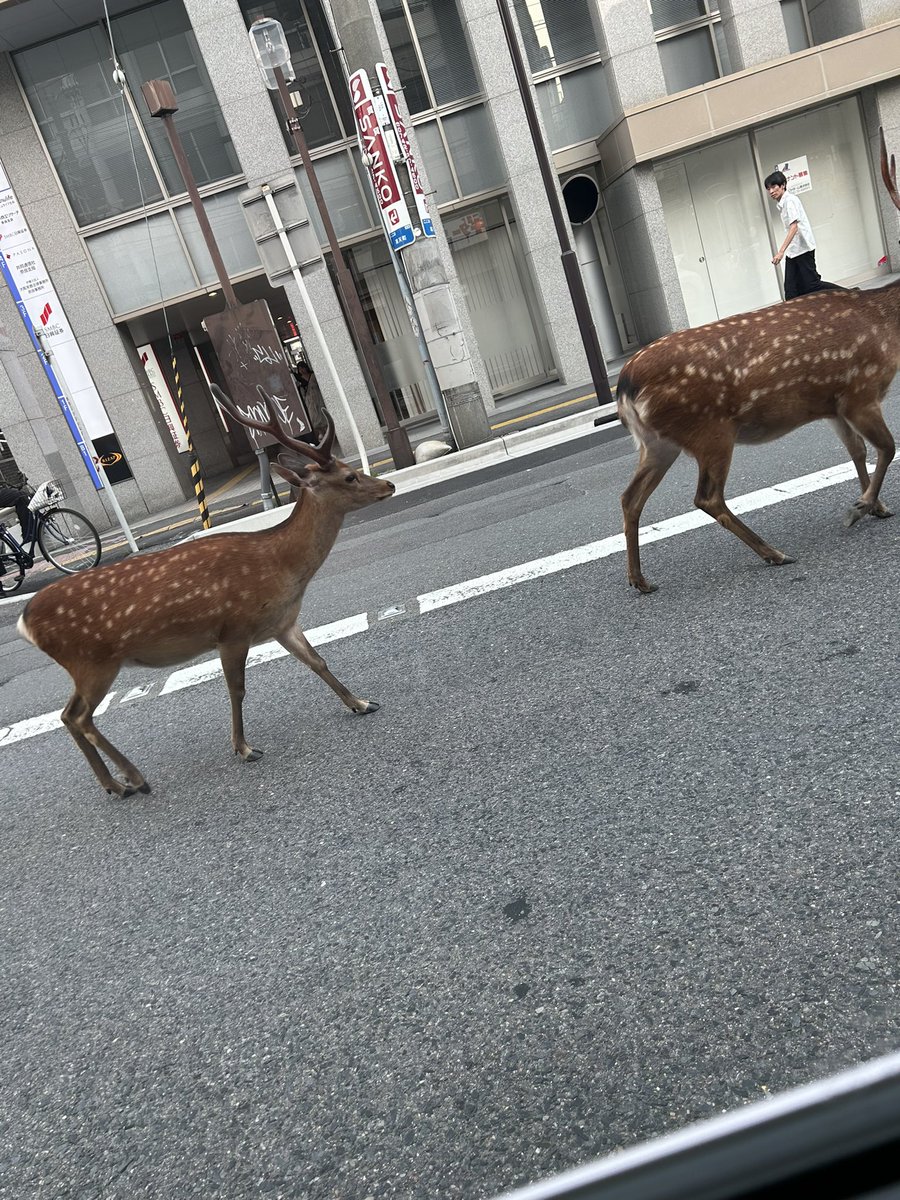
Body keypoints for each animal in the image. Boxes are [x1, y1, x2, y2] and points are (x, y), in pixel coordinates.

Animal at [17, 386, 395, 797]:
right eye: (349, 476)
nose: (388, 485)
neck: (281, 567)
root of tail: (24, 622)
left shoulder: (281, 623)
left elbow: (318, 661)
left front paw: (361, 702)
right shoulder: (232, 629)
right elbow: (237, 688)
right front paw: (244, 748)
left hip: (86, 665)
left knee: (68, 716)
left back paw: (114, 785)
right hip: (93, 660)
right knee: (80, 717)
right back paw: (135, 778)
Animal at [618, 129, 900, 593]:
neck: (885, 324)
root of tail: (624, 382)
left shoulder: (832, 402)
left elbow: (859, 451)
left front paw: (874, 507)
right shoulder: (860, 389)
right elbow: (888, 447)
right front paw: (859, 507)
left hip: (659, 442)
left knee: (629, 498)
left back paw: (641, 581)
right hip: (710, 429)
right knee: (706, 496)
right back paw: (774, 553)